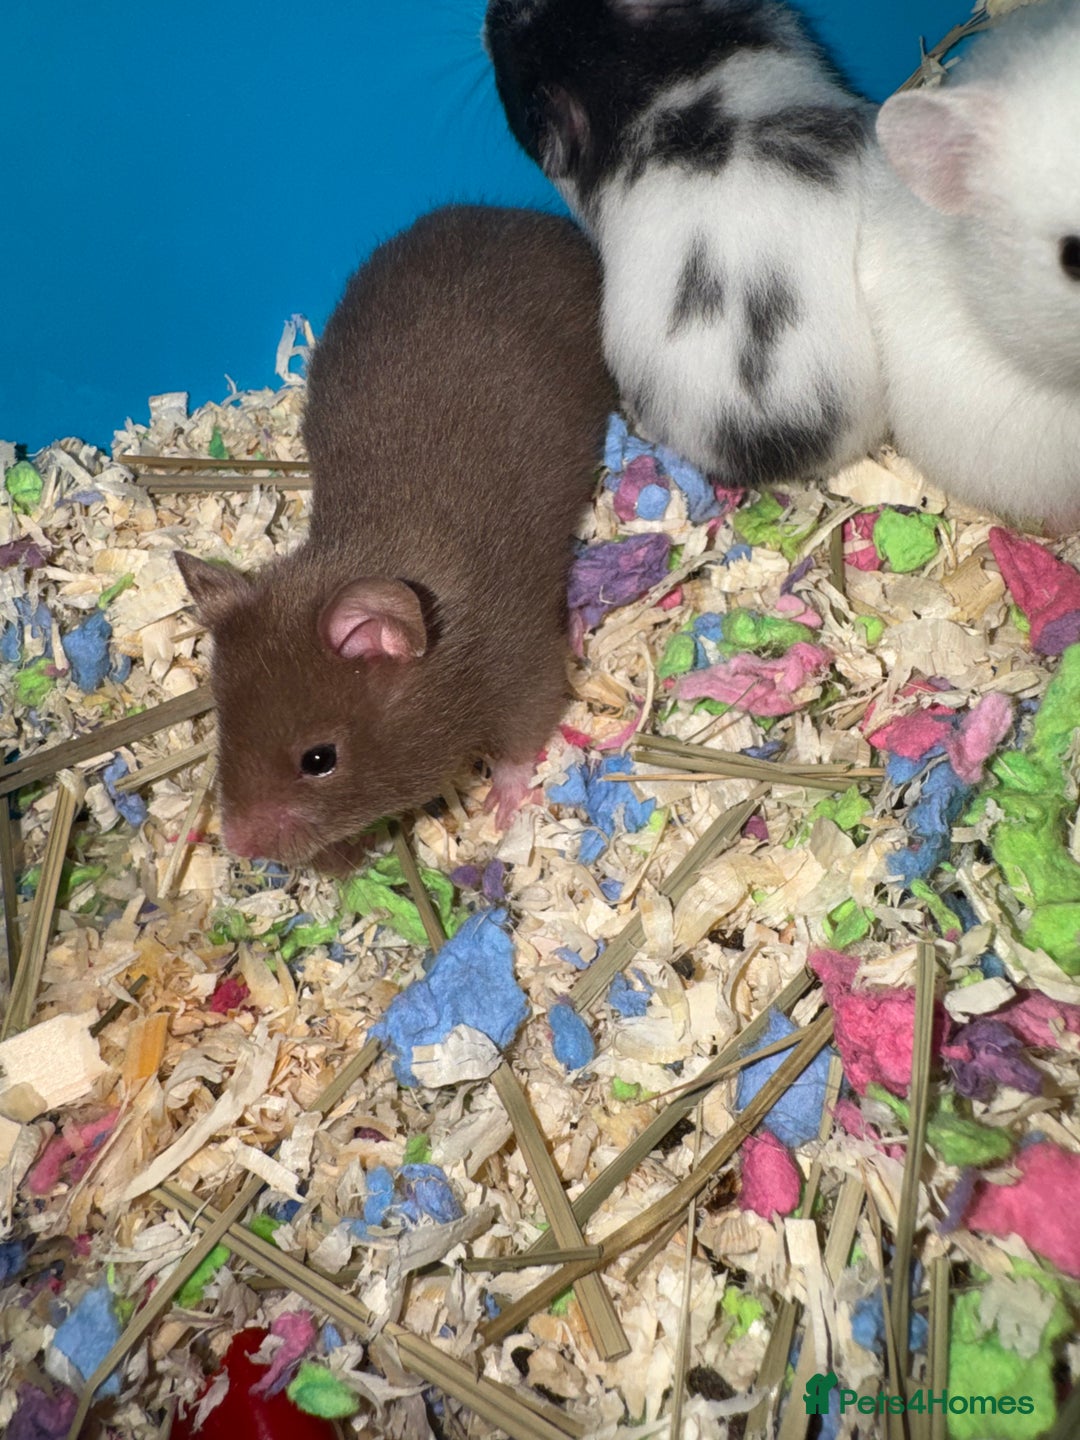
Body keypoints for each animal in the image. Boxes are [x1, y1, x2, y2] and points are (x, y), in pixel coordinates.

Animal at [175, 205, 615, 873]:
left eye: (319, 759)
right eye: (221, 732)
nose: (240, 847)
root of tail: (525, 215)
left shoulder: (522, 668)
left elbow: (523, 739)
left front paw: (501, 811)